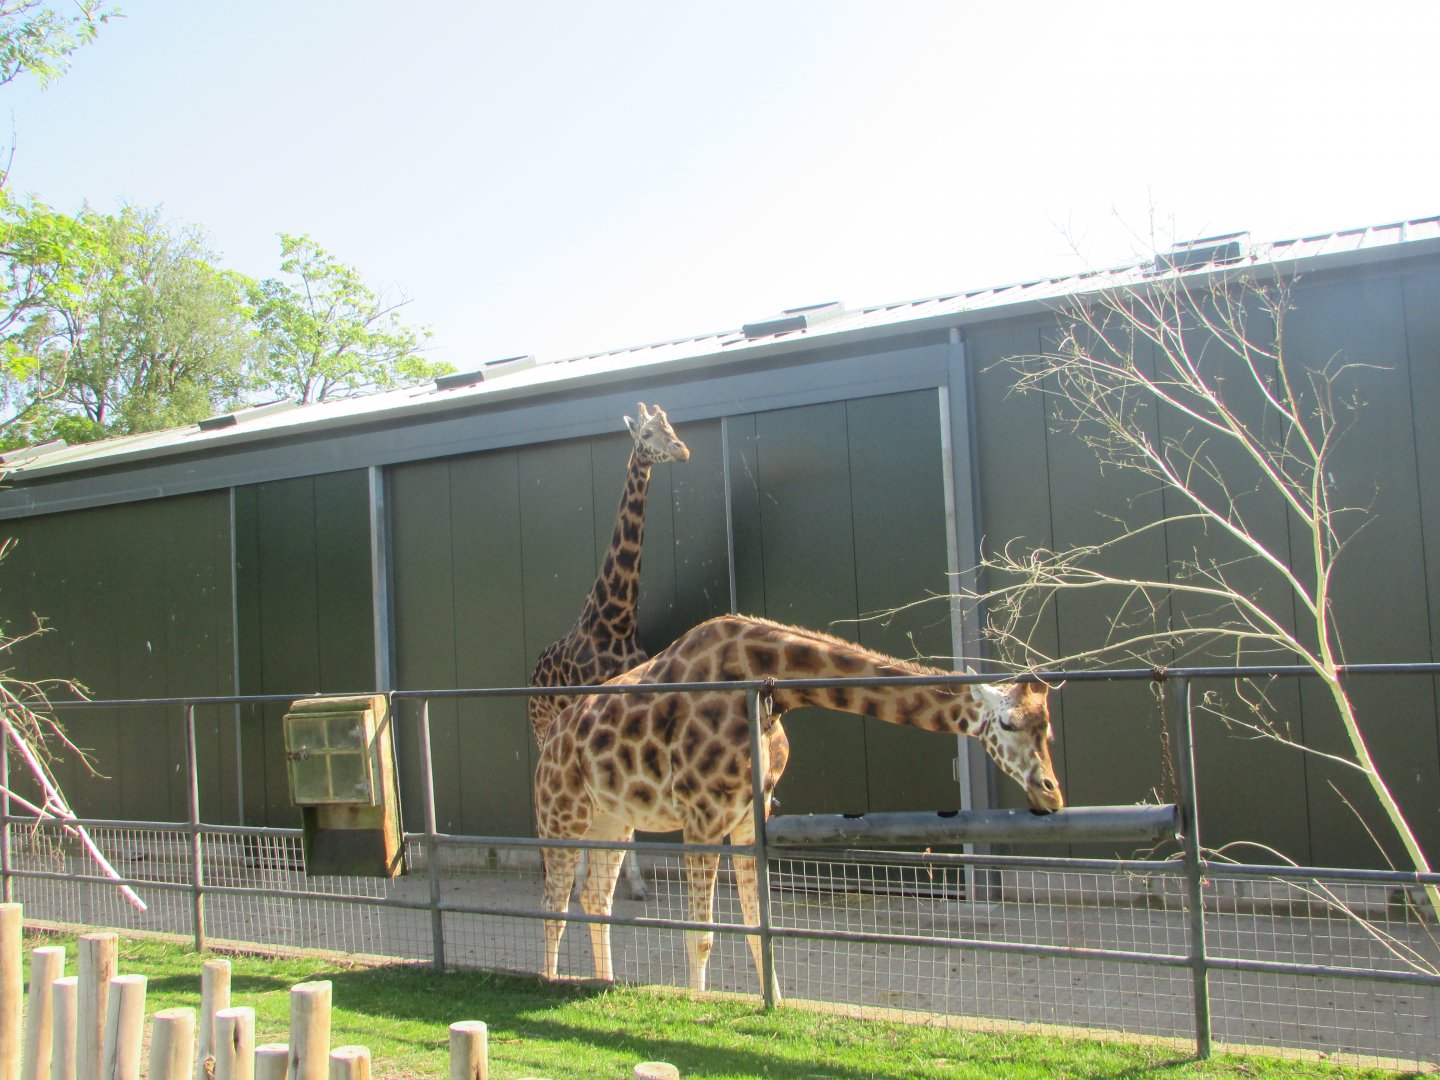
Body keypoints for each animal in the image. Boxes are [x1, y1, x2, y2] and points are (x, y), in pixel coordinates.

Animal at [528, 401, 690, 900]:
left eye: (672, 426)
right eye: (648, 434)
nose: (683, 450)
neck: (615, 620)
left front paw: (633, 882)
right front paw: (598, 881)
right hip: (542, 729)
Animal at [534, 613, 1063, 999]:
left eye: (1048, 730)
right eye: (1009, 725)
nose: (1051, 792)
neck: (768, 688)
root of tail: (550, 741)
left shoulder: (751, 815)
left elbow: (758, 929)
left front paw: (776, 1002)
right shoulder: (702, 813)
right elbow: (701, 934)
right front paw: (699, 1004)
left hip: (612, 820)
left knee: (594, 898)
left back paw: (604, 982)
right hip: (560, 814)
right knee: (553, 904)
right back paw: (548, 980)